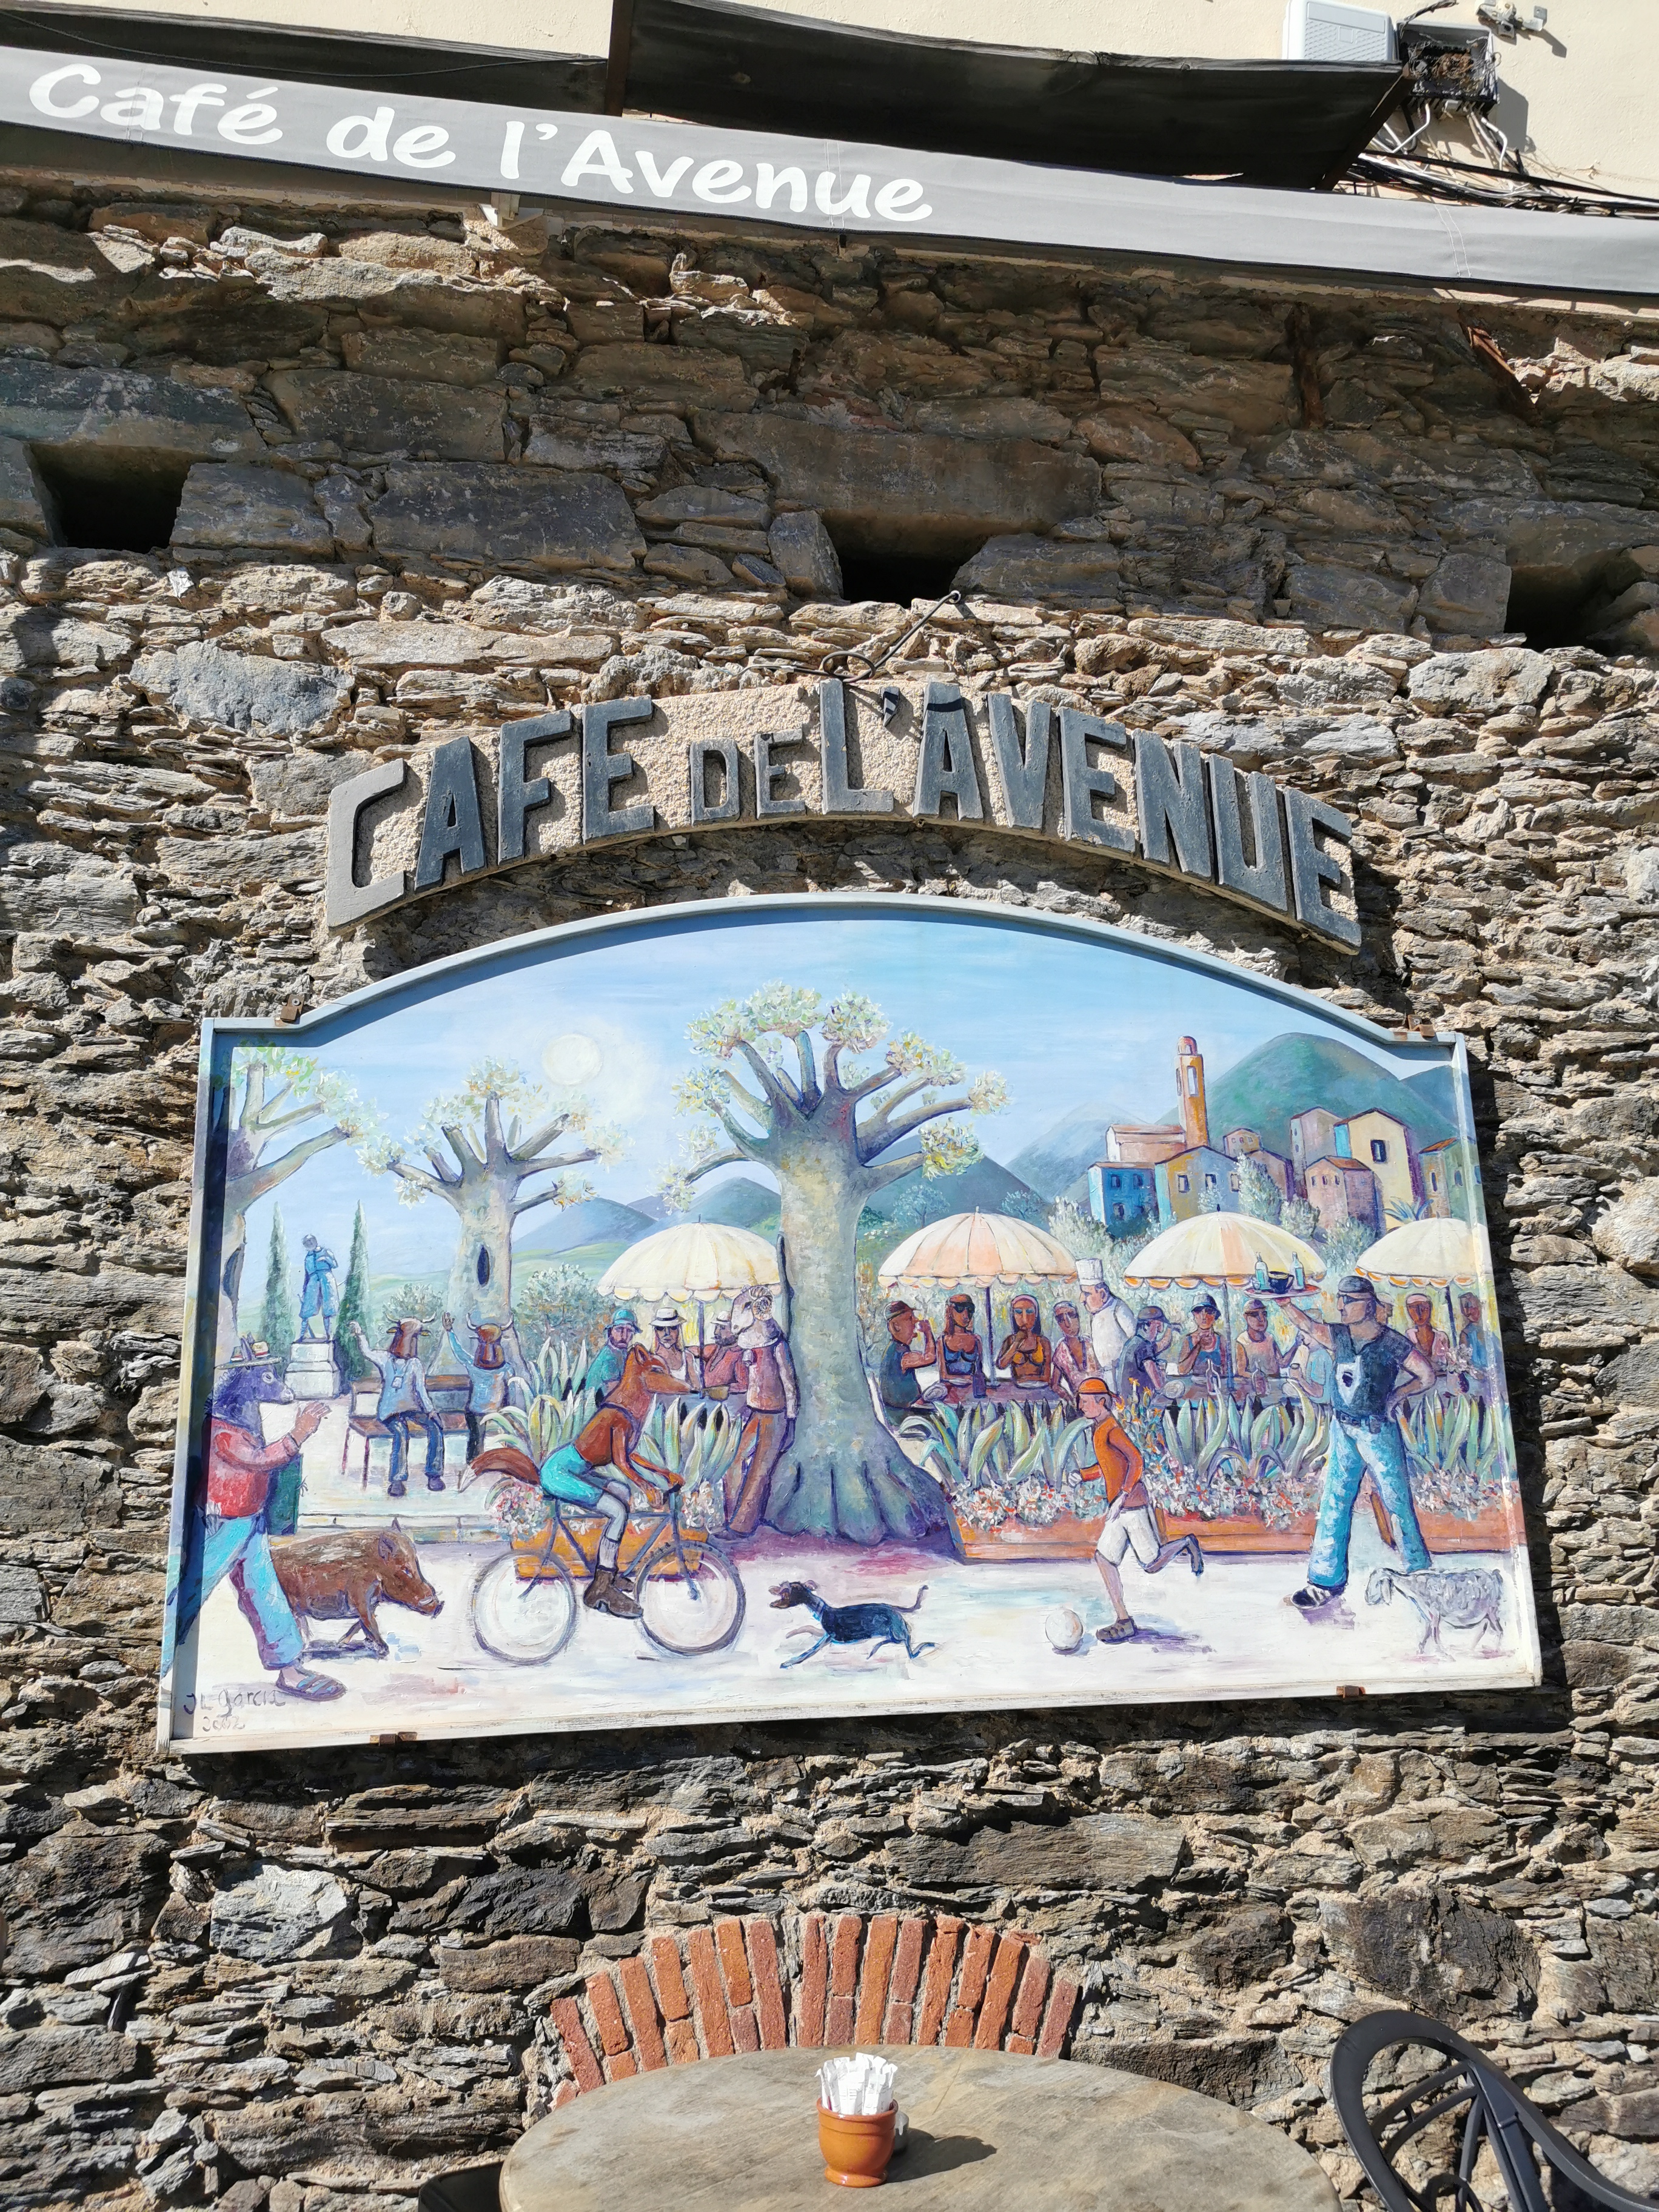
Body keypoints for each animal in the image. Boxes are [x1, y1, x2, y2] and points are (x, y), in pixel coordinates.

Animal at [271, 1526, 442, 1659]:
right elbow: (370, 1622)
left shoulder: (371, 1603)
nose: (440, 1606)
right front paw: (384, 1650)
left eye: (417, 1564)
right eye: (406, 1570)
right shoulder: (361, 1598)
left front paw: (343, 1643)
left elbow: (361, 1623)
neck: (376, 1570)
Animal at [768, 1579, 934, 1668]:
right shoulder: (825, 1634)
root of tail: (894, 1609)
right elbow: (808, 1628)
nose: (772, 1590)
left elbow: (809, 1651)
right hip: (894, 1631)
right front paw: (791, 1634)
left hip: (896, 1631)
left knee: (908, 1647)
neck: (822, 1611)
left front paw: (790, 1662)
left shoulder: (828, 1637)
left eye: (786, 1592)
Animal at [1365, 1565, 1503, 1654]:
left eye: (1377, 1583)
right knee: (1484, 1629)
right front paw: (1420, 1651)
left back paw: (1495, 1651)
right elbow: (1428, 1632)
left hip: (1491, 1609)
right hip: (1485, 1613)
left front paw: (1445, 1654)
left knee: (1499, 1631)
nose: (1367, 1598)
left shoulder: (1436, 1613)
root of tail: (1494, 1574)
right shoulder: (1428, 1615)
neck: (1416, 1586)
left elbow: (1435, 1635)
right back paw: (1472, 1649)